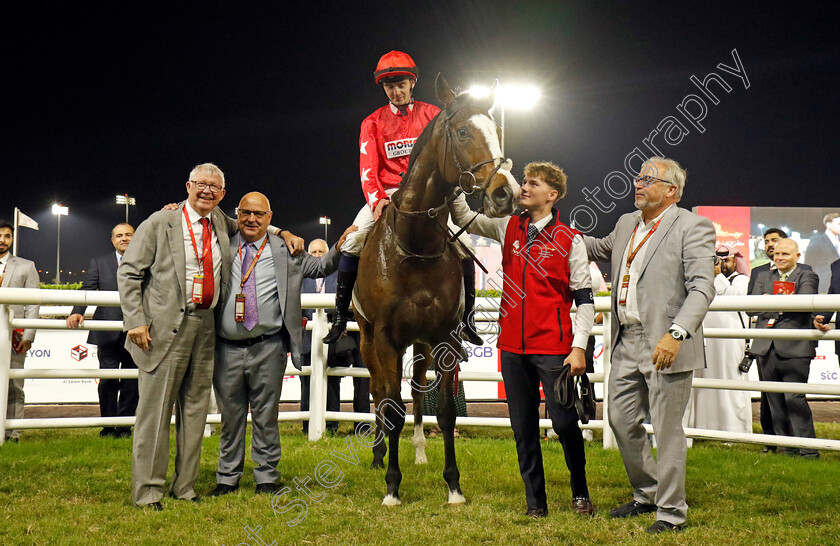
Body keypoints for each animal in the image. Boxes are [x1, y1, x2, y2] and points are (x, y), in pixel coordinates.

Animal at [352, 74, 520, 504]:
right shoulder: (385, 338)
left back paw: (418, 452)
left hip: (422, 344)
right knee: (379, 393)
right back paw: (377, 455)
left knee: (415, 390)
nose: (505, 193)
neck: (415, 244)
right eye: (462, 132)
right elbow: (390, 405)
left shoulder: (444, 338)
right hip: (367, 340)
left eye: (498, 132)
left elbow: (443, 409)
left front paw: (453, 485)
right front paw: (392, 487)